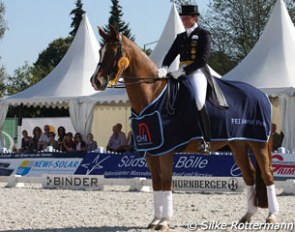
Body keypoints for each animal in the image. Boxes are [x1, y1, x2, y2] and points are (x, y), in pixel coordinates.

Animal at [91, 26, 280, 231]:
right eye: (100, 51)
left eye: (113, 51)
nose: (96, 81)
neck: (153, 94)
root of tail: (262, 94)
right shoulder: (152, 151)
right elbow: (156, 183)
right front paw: (155, 220)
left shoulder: (166, 151)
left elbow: (166, 182)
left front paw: (164, 221)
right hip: (238, 145)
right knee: (250, 175)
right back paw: (247, 216)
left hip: (258, 143)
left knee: (267, 174)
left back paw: (272, 216)